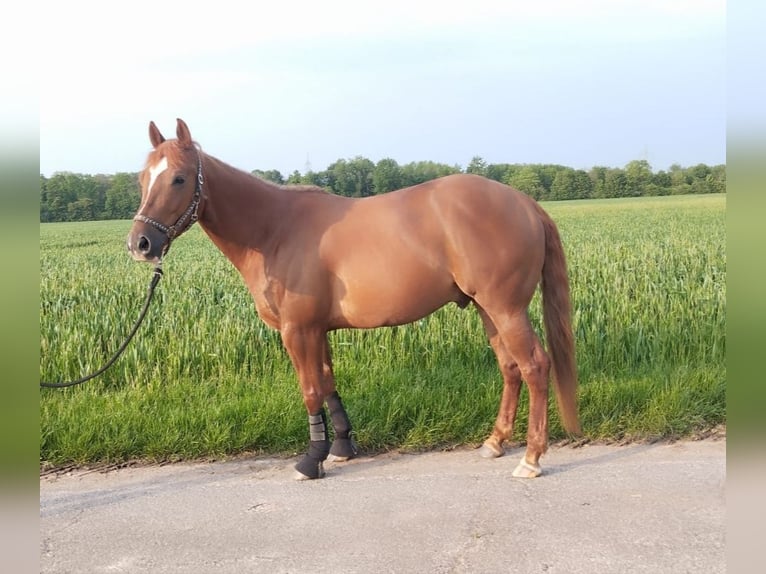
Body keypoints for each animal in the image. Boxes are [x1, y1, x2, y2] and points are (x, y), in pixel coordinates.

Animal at [127, 118, 584, 482]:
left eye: (179, 178)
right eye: (142, 179)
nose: (141, 244)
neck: (274, 230)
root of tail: (523, 201)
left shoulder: (297, 330)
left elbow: (310, 390)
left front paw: (310, 461)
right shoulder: (317, 330)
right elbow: (329, 384)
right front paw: (341, 448)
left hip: (506, 309)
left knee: (534, 366)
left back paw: (531, 458)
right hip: (487, 309)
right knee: (510, 368)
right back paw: (495, 441)